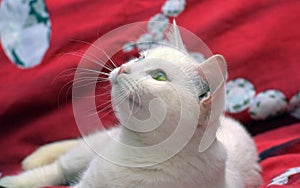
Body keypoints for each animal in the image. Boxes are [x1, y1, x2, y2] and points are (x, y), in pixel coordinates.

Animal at [0, 22, 262, 188]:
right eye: (141, 57)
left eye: (159, 76)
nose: (124, 68)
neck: (135, 150)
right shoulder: (87, 182)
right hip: (82, 155)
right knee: (57, 168)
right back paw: (15, 178)